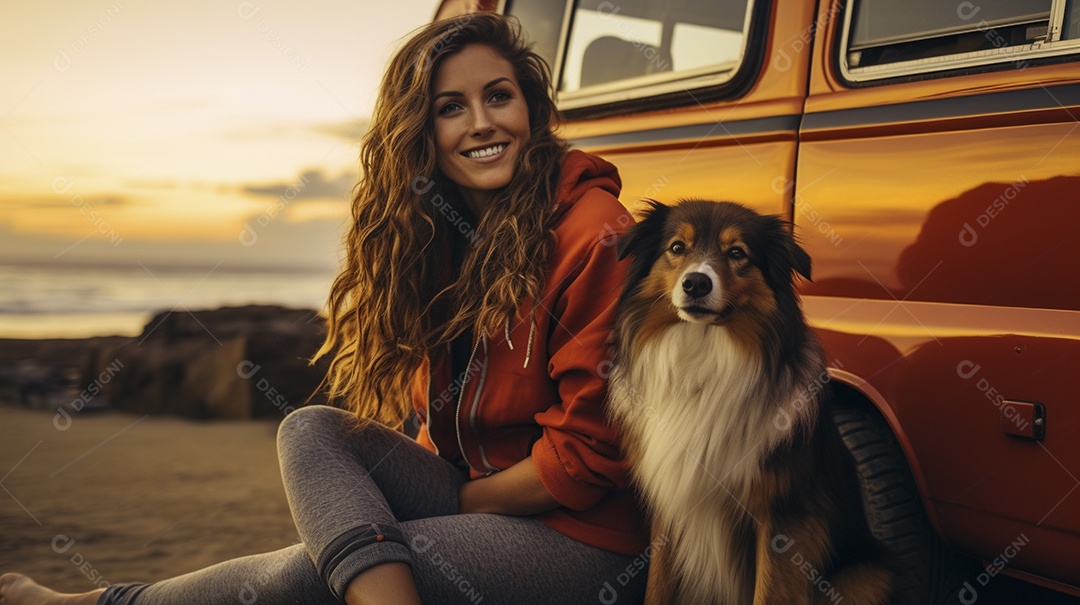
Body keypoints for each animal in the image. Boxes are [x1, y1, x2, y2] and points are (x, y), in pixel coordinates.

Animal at [609, 200, 894, 600]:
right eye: (677, 247)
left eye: (737, 253)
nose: (696, 283)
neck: (703, 358)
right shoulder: (669, 500)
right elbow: (657, 587)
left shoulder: (783, 516)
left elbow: (768, 591)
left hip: (868, 576)